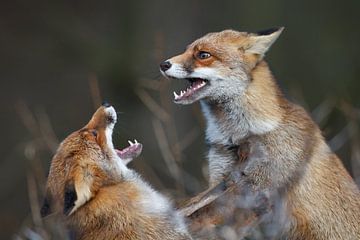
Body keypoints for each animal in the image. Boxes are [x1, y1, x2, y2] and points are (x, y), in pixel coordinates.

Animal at [160, 28, 360, 240]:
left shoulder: (260, 187)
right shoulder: (223, 177)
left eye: (203, 55)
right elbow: (193, 205)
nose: (163, 64)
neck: (240, 136)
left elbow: (204, 214)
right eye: (186, 50)